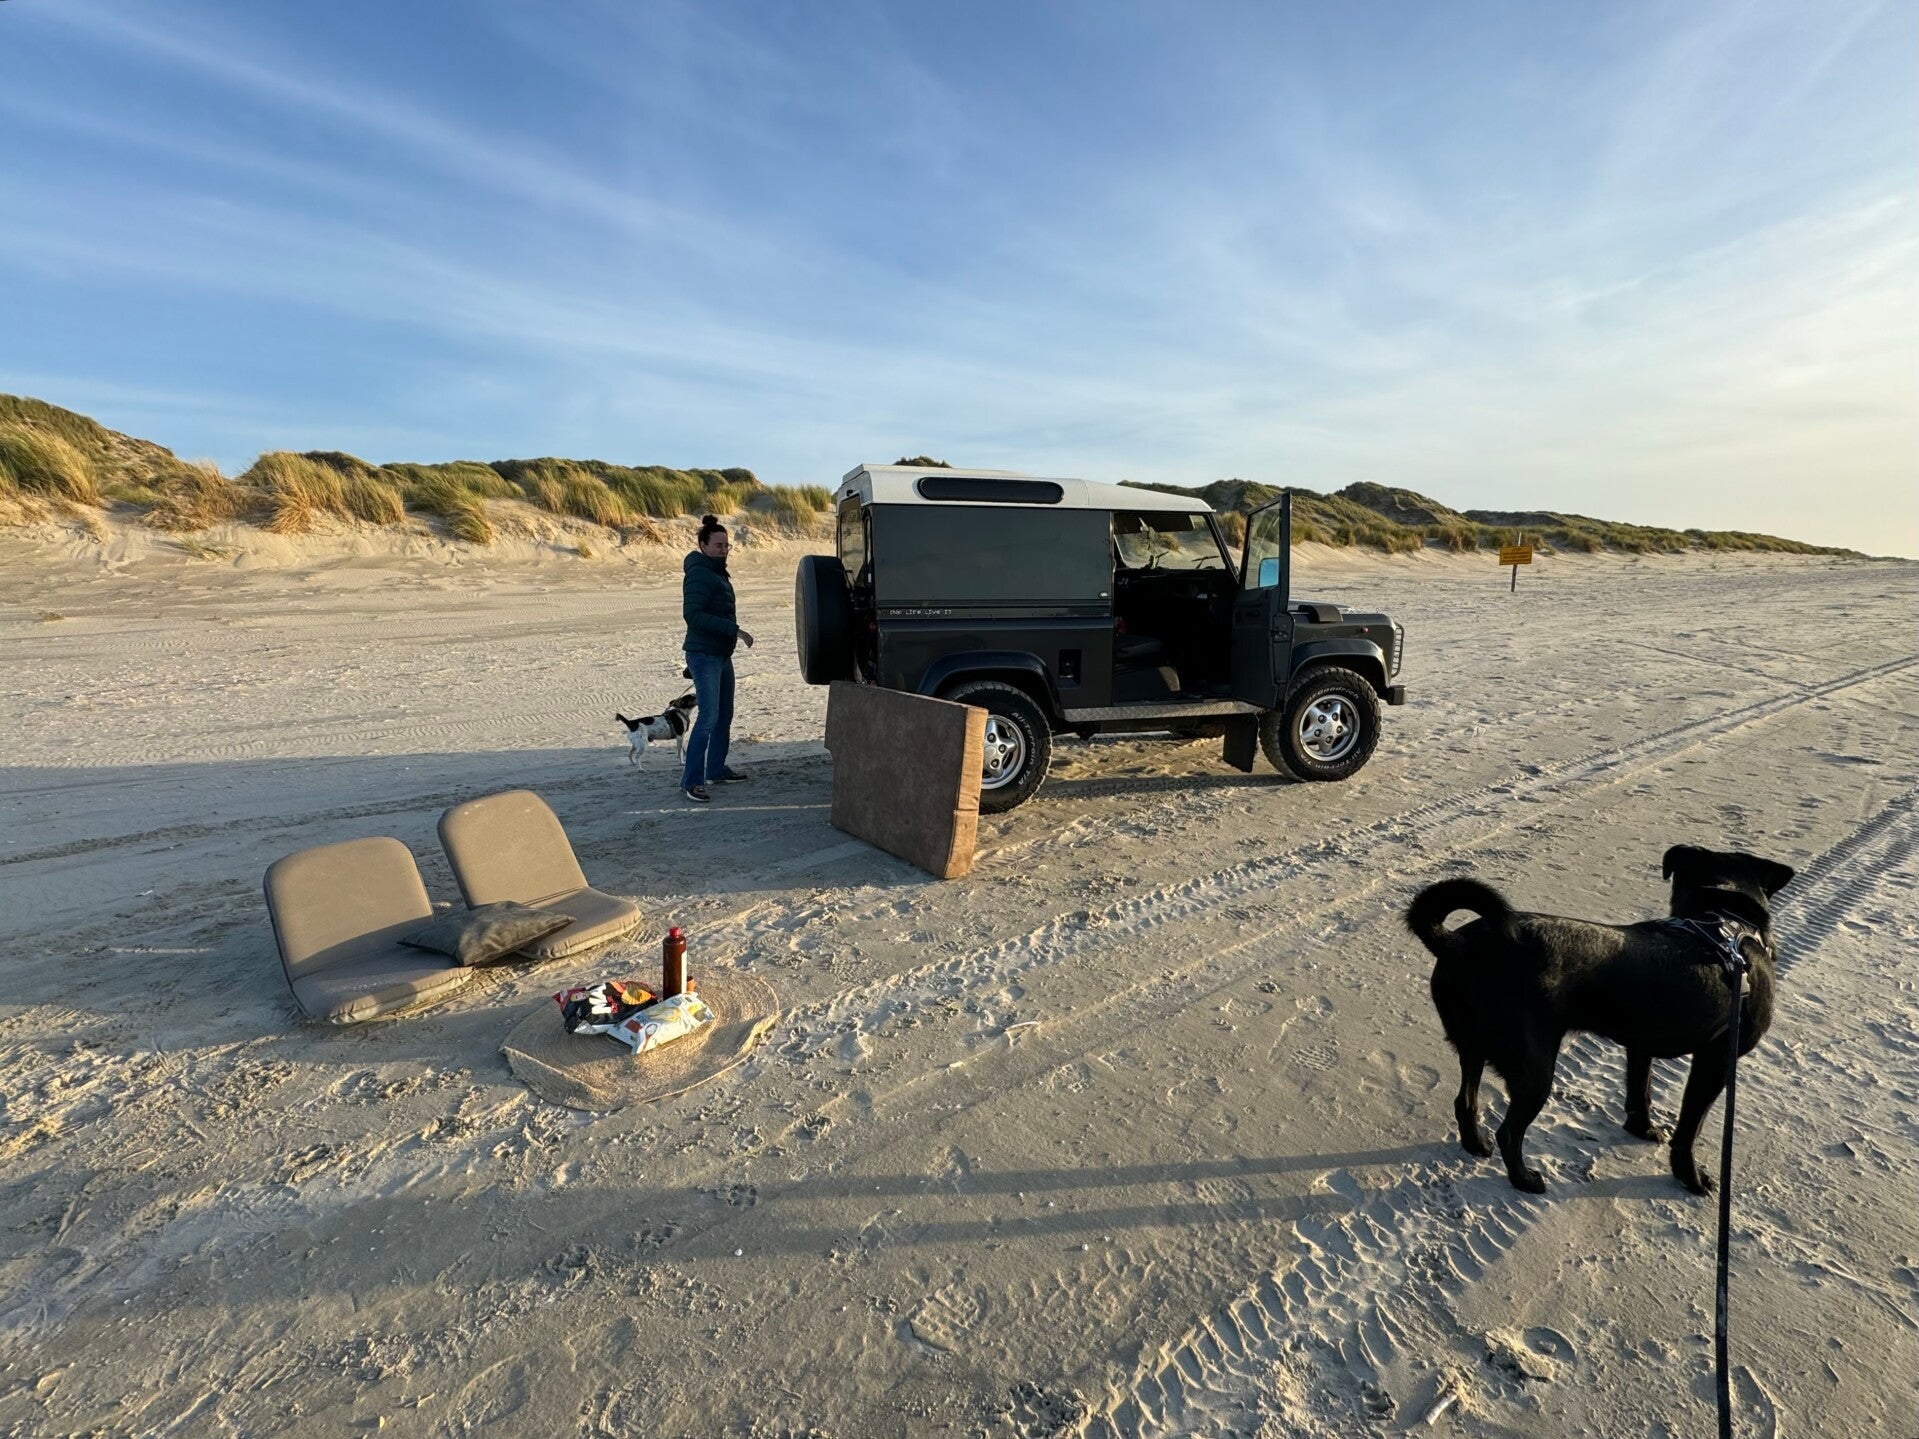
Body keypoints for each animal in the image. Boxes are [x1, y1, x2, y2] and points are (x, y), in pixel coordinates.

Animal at [1406, 845, 1794, 1195]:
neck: (1723, 919)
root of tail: (1456, 943)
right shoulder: (1715, 1062)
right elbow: (1689, 1129)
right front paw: (1691, 1178)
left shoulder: (1641, 1046)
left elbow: (1640, 1091)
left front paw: (1642, 1130)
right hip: (1534, 1069)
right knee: (1509, 1132)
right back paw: (1524, 1179)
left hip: (1474, 1047)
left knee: (1466, 1102)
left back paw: (1476, 1145)